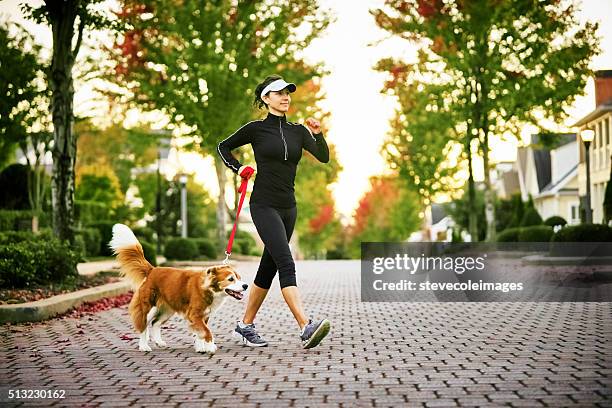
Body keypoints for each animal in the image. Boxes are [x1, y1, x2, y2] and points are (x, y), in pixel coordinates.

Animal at [110, 223, 246, 354]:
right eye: (231, 279)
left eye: (239, 278)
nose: (245, 286)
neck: (210, 289)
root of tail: (152, 270)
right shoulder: (194, 314)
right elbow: (206, 331)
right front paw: (210, 346)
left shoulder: (204, 316)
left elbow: (200, 333)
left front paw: (201, 348)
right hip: (148, 307)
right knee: (144, 325)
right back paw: (144, 346)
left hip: (167, 309)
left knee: (155, 323)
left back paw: (159, 342)